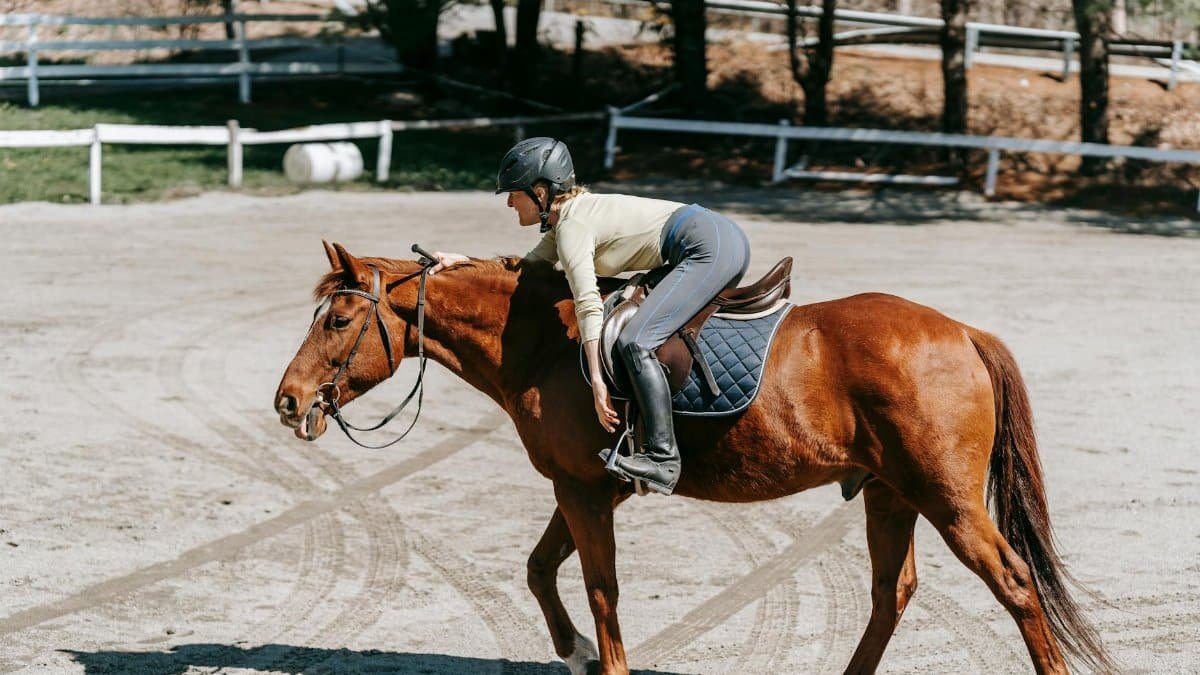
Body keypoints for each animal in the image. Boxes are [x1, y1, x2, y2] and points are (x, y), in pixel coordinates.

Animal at [274, 241, 1113, 675]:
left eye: (339, 318)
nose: (287, 399)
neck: (544, 339)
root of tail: (963, 331)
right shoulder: (587, 486)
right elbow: (541, 570)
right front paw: (574, 652)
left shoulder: (584, 491)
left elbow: (601, 588)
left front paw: (601, 657)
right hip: (890, 492)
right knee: (891, 593)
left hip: (948, 500)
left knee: (1014, 583)